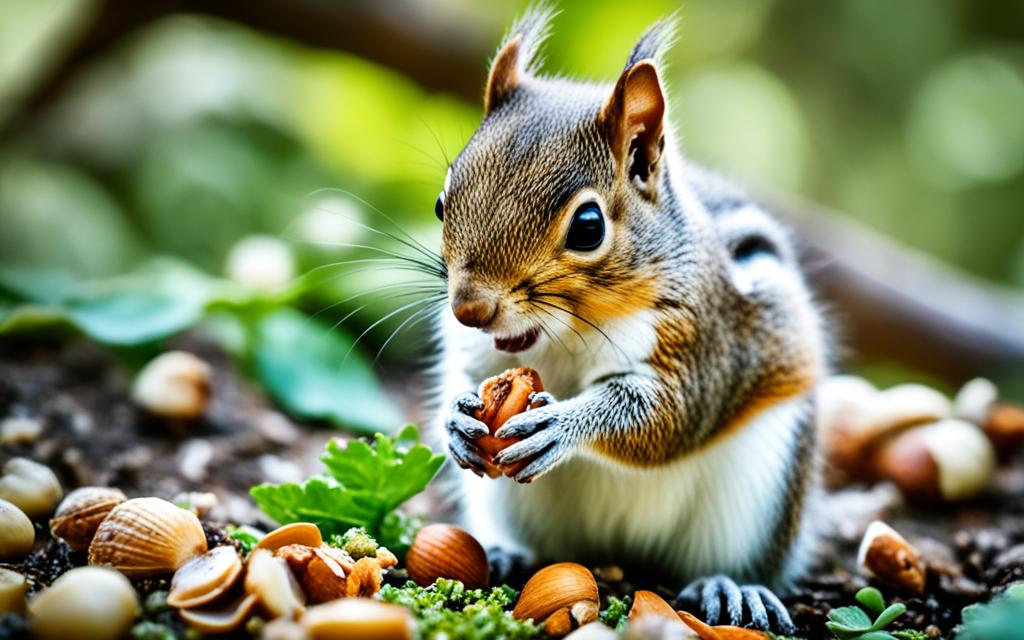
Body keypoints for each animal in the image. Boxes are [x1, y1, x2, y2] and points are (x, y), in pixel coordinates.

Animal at [428, 7, 827, 630]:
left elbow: (661, 417)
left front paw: (562, 425)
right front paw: (457, 417)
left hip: (760, 487)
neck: (563, 334)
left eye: (588, 227)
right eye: (442, 203)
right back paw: (503, 550)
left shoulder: (699, 344)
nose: (470, 309)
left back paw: (734, 588)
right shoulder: (477, 352)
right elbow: (469, 376)